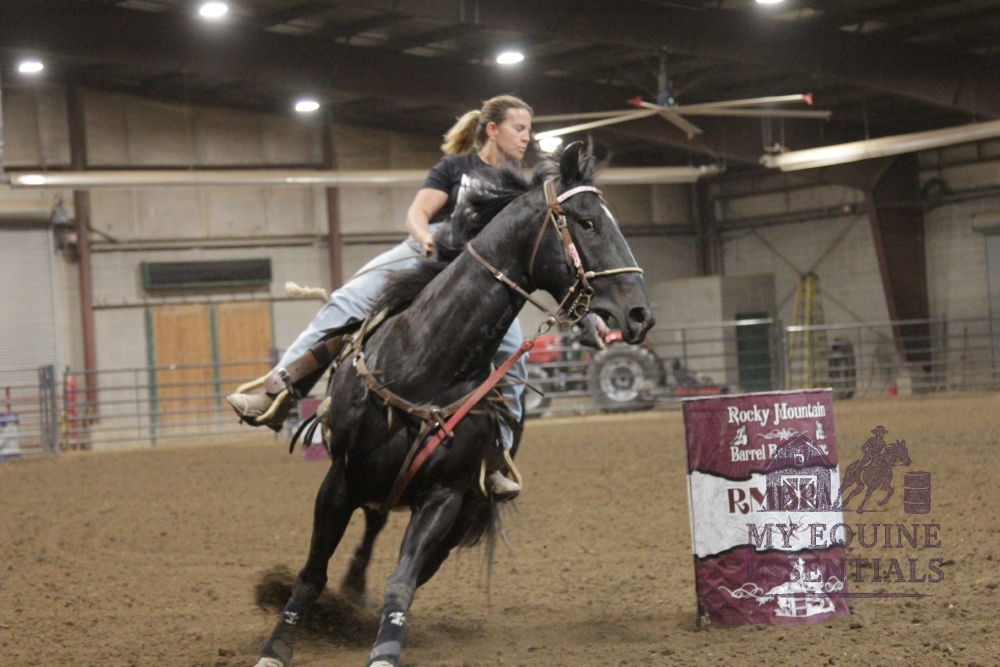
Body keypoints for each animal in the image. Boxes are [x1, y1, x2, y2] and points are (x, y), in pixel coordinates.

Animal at [254, 142, 654, 667]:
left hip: (456, 513)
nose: (640, 315)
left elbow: (401, 583)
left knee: (395, 543)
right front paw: (276, 648)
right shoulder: (339, 479)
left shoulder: (444, 498)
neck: (424, 362)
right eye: (587, 222)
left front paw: (384, 648)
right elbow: (310, 574)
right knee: (372, 521)